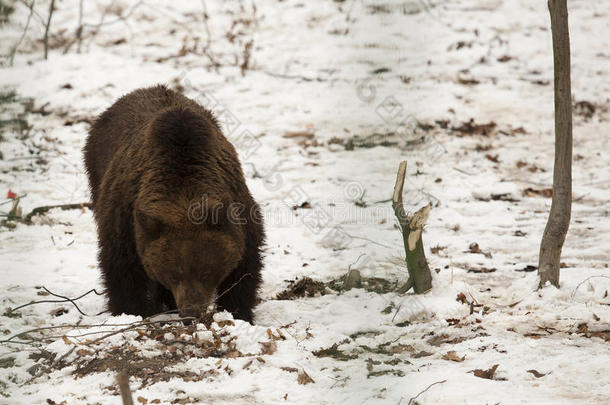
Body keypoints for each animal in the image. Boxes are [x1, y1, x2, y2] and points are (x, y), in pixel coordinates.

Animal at [83, 84, 264, 322]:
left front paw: (239, 312)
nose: (191, 313)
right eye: (174, 273)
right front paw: (132, 311)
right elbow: (122, 269)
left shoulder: (239, 212)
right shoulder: (126, 216)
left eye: (206, 272)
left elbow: (244, 268)